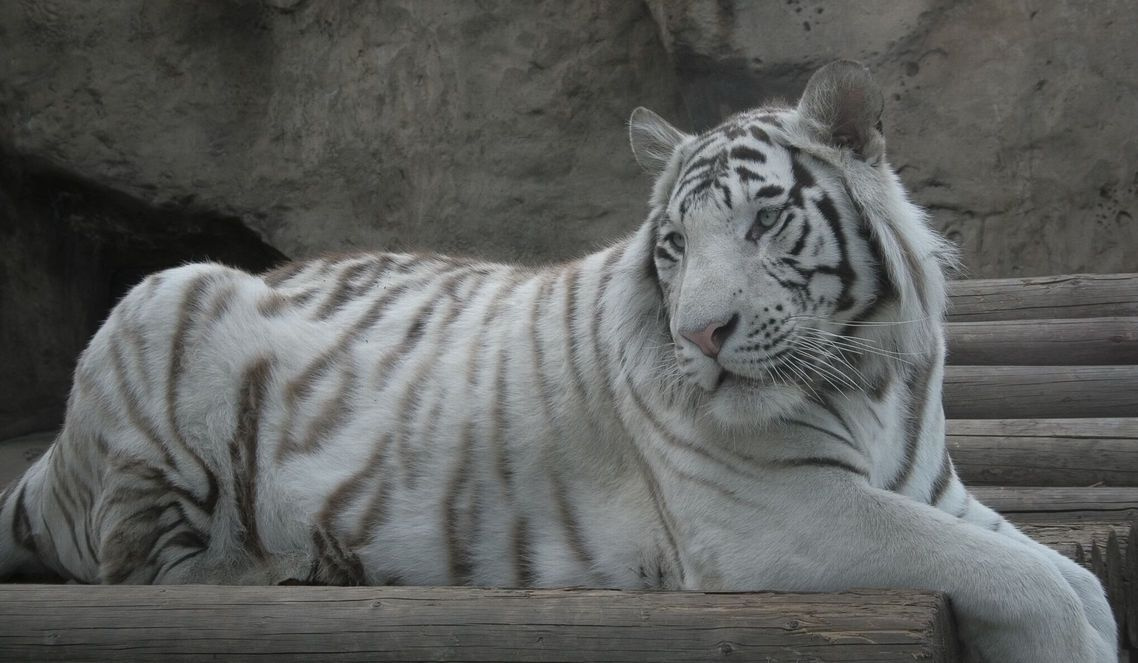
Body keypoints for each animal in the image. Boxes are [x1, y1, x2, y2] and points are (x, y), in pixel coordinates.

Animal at [0, 60, 1115, 661]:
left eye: (763, 222)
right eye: (674, 245)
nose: (701, 335)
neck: (869, 372)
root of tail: (50, 464)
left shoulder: (932, 491)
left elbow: (1069, 573)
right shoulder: (782, 517)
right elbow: (1036, 584)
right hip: (169, 306)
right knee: (139, 567)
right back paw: (291, 566)